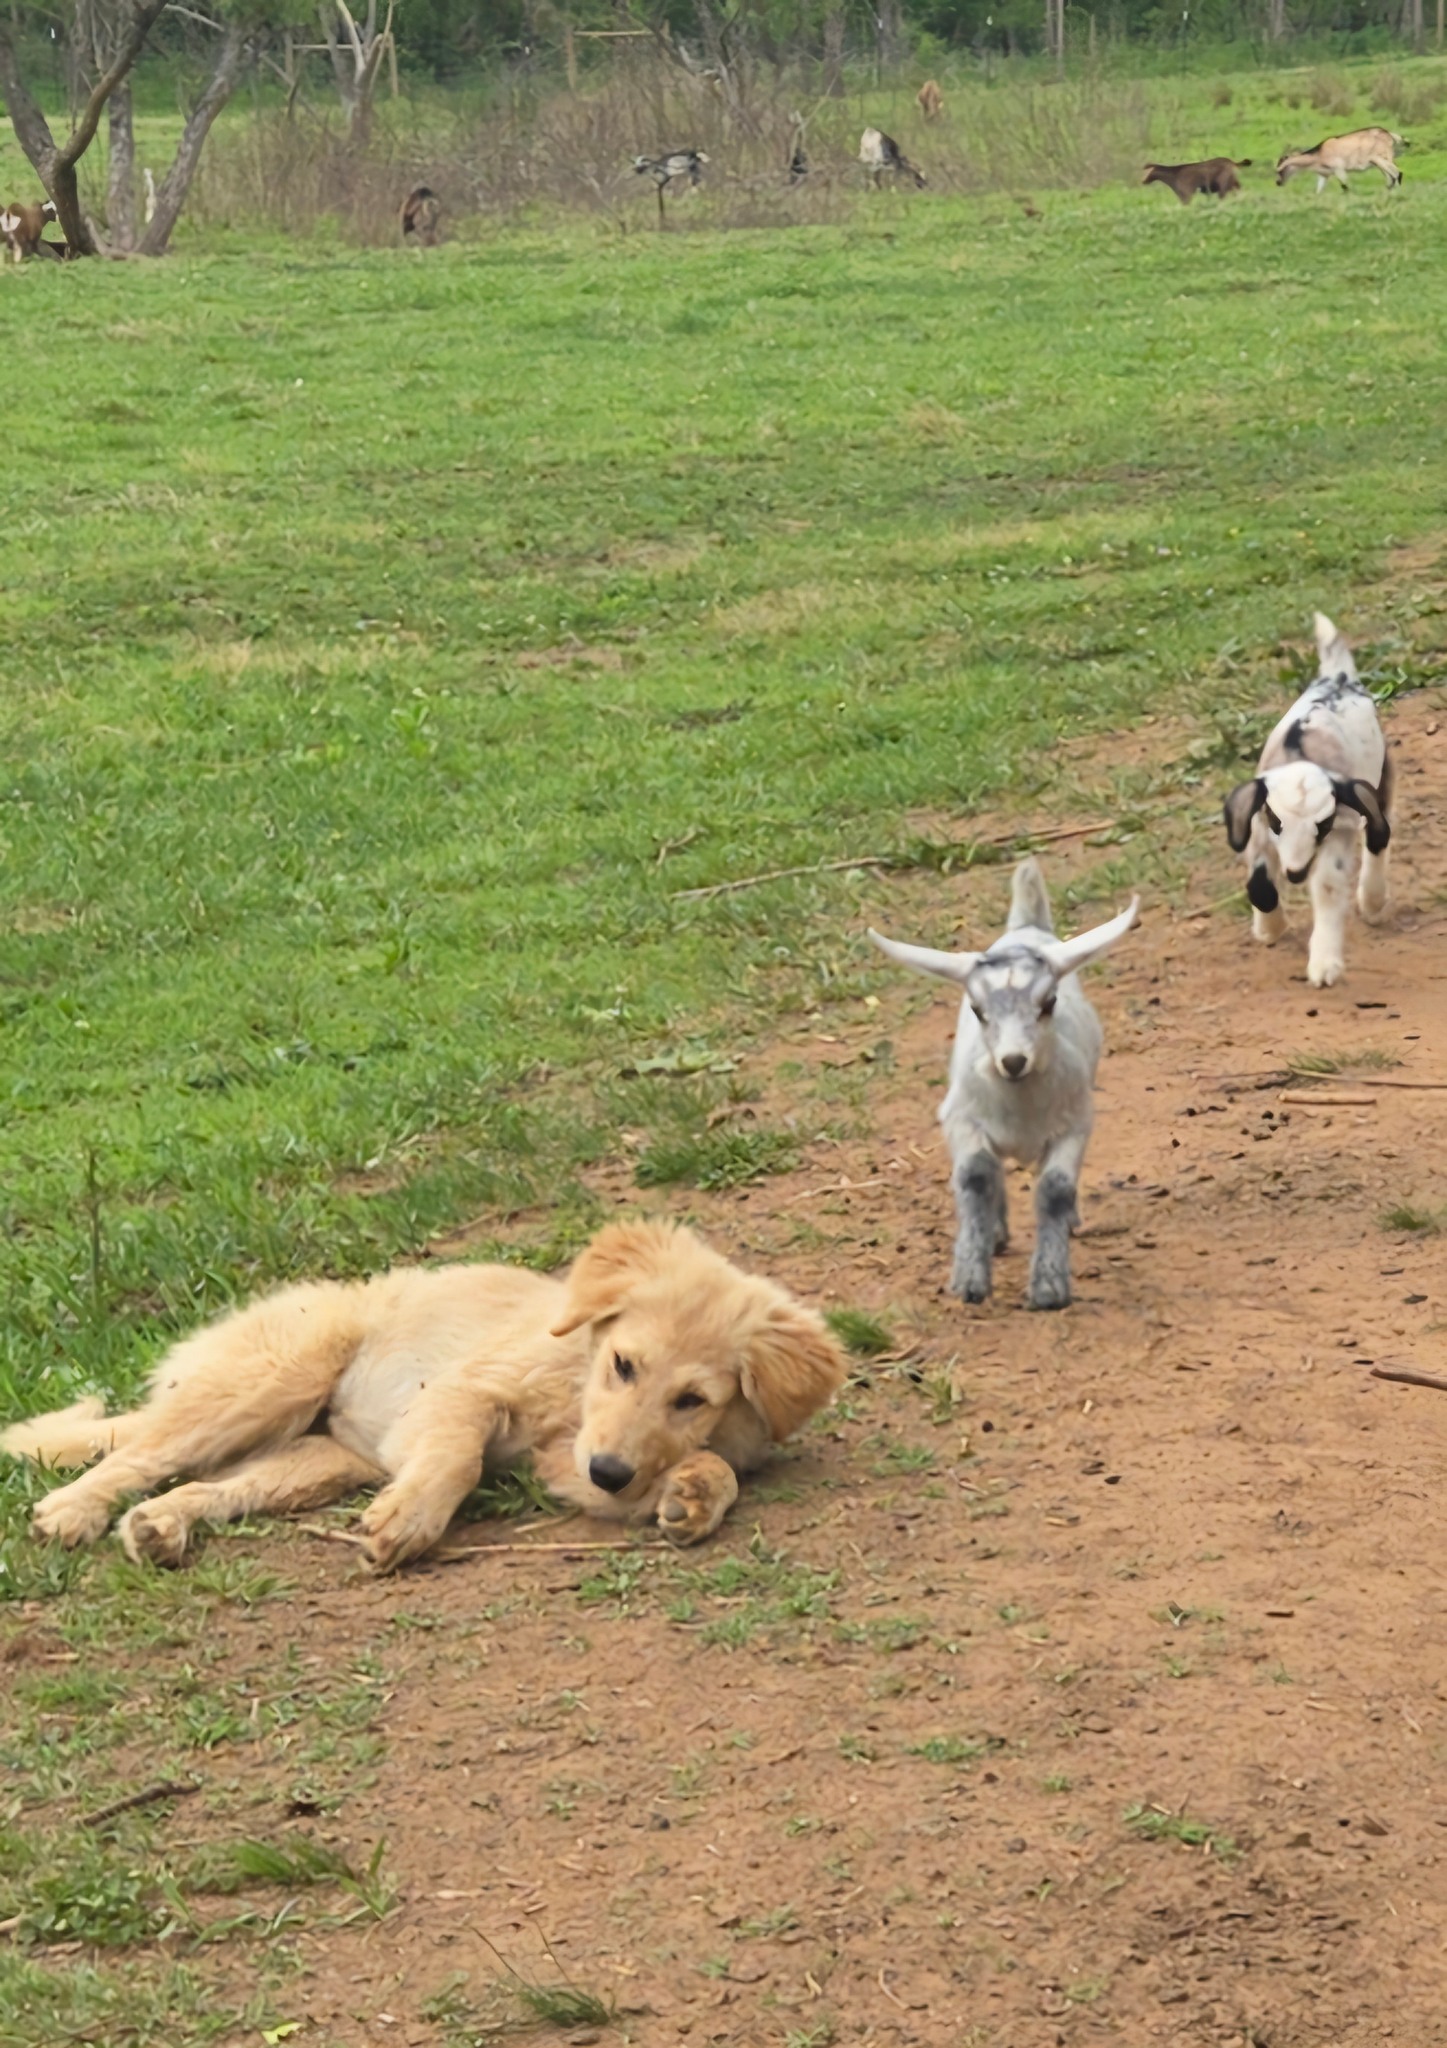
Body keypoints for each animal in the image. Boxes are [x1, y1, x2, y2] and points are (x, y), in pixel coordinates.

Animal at [869, 860, 1139, 1311]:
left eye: (1049, 1003)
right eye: (978, 1010)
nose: (1013, 1061)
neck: (1021, 1105)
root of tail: (1025, 928)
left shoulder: (1075, 1125)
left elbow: (1055, 1189)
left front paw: (1049, 1286)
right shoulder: (959, 1119)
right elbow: (977, 1176)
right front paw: (970, 1280)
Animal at [1223, 613, 1391, 989]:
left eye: (1322, 824)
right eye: (1277, 821)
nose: (1296, 873)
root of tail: (1338, 678)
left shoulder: (1340, 828)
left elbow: (1327, 886)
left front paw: (1325, 964)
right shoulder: (1258, 825)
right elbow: (1259, 884)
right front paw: (1269, 929)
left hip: (1379, 780)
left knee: (1379, 836)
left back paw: (1373, 903)